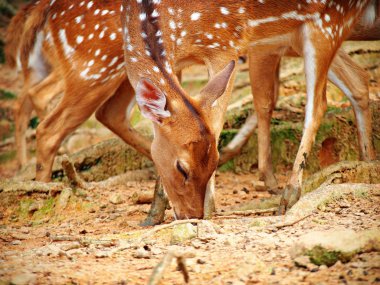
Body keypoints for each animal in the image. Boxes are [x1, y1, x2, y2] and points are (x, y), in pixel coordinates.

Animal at [123, 0, 376, 217]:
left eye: (215, 161)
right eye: (182, 168)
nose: (192, 215)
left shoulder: (225, 43)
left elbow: (217, 122)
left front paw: (211, 207)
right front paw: (153, 214)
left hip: (327, 23)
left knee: (318, 103)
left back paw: (289, 195)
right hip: (298, 33)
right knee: (358, 79)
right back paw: (368, 164)